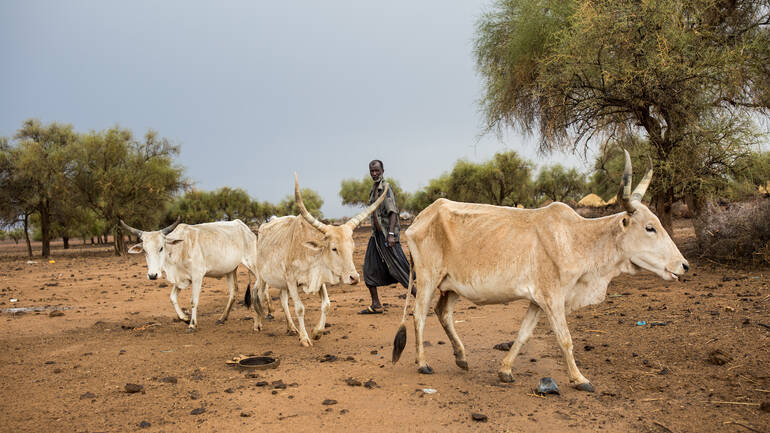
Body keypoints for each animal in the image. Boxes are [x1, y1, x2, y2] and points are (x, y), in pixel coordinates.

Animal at [121, 218, 260, 332]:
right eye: (145, 250)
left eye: (161, 248)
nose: (152, 275)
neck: (179, 249)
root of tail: (245, 228)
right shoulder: (180, 279)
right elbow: (172, 298)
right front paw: (184, 318)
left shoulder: (197, 277)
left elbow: (193, 300)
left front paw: (192, 324)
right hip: (230, 270)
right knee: (233, 292)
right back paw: (222, 318)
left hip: (253, 264)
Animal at [246, 174, 388, 346]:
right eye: (334, 248)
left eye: (353, 248)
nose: (354, 278)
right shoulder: (291, 280)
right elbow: (300, 308)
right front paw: (305, 338)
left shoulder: (318, 278)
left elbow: (326, 305)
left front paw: (316, 332)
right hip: (262, 277)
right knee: (258, 294)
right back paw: (257, 324)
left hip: (281, 282)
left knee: (283, 300)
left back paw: (291, 328)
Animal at [392, 151, 688, 392]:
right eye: (649, 227)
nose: (683, 265)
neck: (578, 239)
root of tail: (420, 218)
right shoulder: (553, 298)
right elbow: (565, 339)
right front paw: (580, 379)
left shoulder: (537, 301)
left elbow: (524, 334)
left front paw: (505, 371)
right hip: (428, 279)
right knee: (419, 315)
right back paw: (422, 363)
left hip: (453, 286)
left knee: (443, 313)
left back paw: (462, 358)